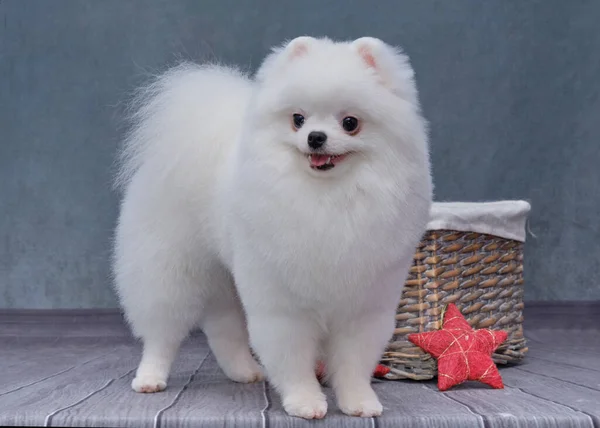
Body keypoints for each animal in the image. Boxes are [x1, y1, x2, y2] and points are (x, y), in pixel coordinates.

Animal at [113, 36, 432, 418]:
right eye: (298, 119)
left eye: (350, 122)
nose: (315, 137)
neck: (328, 198)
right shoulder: (283, 304)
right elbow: (293, 359)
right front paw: (305, 401)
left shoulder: (364, 304)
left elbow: (353, 362)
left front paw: (359, 402)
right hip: (171, 270)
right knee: (162, 331)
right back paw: (150, 378)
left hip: (227, 280)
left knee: (224, 330)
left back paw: (244, 372)